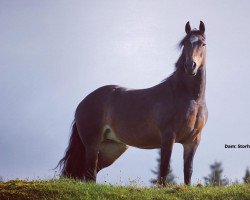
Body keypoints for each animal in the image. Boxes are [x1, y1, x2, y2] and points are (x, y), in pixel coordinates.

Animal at [57, 21, 208, 185]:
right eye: (185, 44)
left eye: (203, 43)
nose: (190, 66)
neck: (189, 98)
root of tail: (82, 103)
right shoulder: (168, 137)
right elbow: (164, 167)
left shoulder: (193, 141)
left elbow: (188, 171)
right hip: (92, 145)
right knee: (90, 174)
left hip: (112, 148)